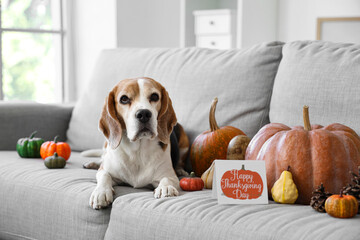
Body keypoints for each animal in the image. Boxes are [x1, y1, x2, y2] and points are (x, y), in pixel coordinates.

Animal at [85, 78, 188, 209]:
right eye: (124, 99)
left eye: (154, 96)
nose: (144, 114)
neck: (138, 150)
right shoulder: (106, 171)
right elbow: (104, 175)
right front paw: (101, 192)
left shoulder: (169, 174)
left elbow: (167, 179)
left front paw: (165, 188)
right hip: (106, 144)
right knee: (102, 158)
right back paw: (93, 163)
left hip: (184, 141)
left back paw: (180, 170)